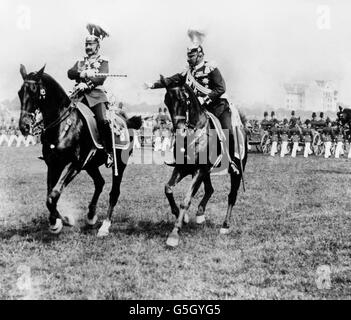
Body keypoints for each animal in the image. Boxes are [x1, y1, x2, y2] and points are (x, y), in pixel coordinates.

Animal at [18, 64, 142, 235]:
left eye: (34, 91)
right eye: (20, 93)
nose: (23, 126)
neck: (63, 125)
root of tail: (126, 120)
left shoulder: (75, 164)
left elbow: (54, 194)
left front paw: (64, 220)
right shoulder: (53, 165)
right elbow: (50, 196)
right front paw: (56, 221)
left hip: (119, 164)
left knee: (114, 193)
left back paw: (105, 226)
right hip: (91, 165)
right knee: (100, 183)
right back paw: (90, 216)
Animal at [161, 77, 249, 248]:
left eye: (183, 100)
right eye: (166, 101)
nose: (179, 130)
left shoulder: (198, 170)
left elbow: (186, 200)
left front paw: (174, 234)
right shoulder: (183, 169)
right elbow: (168, 188)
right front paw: (182, 217)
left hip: (234, 173)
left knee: (232, 196)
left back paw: (225, 226)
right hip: (206, 172)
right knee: (210, 189)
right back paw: (200, 213)